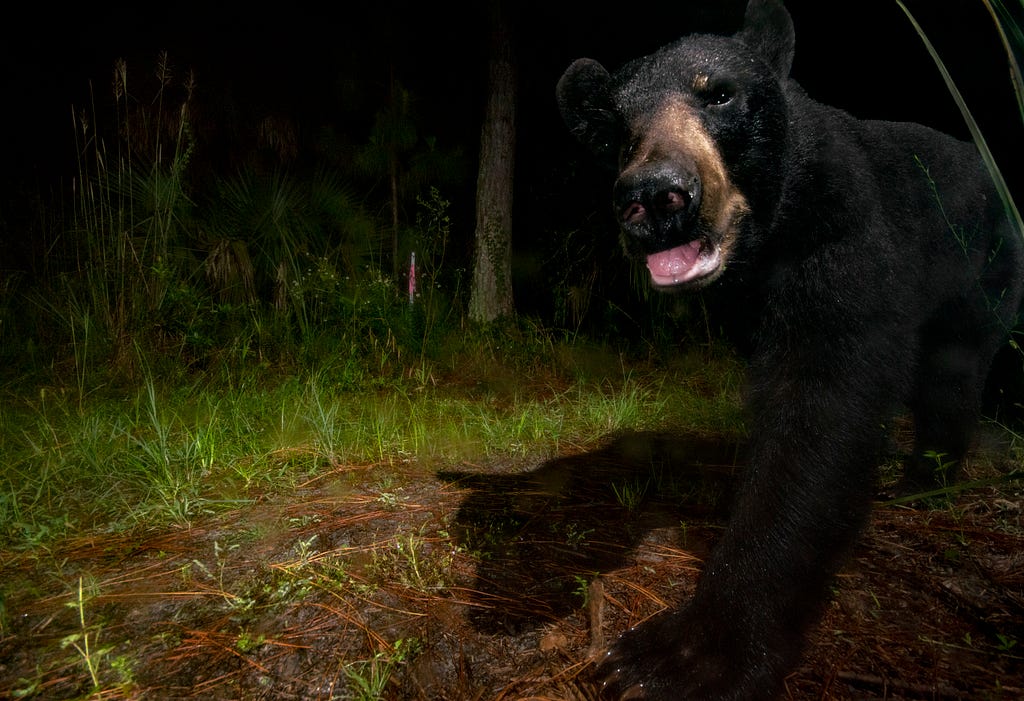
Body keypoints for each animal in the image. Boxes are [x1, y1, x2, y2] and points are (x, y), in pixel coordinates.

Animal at [561, 1, 1024, 699]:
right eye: (616, 127)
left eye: (720, 93)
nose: (655, 196)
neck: (765, 246)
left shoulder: (845, 237)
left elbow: (817, 423)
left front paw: (683, 656)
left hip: (980, 269)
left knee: (953, 374)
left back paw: (925, 482)